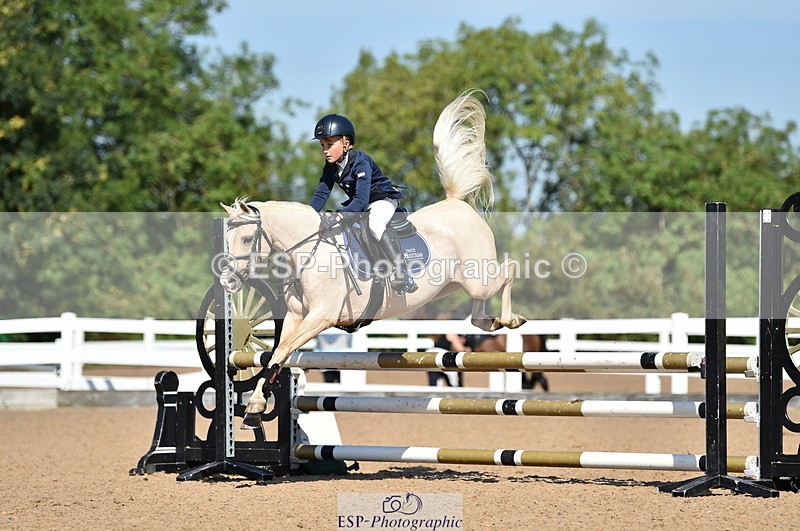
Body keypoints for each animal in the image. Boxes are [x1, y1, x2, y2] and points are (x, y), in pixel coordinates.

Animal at [220, 91, 527, 423]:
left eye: (247, 239)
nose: (229, 281)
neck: (309, 254)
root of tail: (457, 203)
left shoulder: (321, 316)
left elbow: (284, 348)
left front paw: (256, 402)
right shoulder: (295, 316)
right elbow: (279, 351)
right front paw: (255, 403)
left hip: (478, 276)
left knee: (509, 270)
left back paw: (511, 318)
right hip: (458, 284)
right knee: (478, 313)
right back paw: (492, 322)